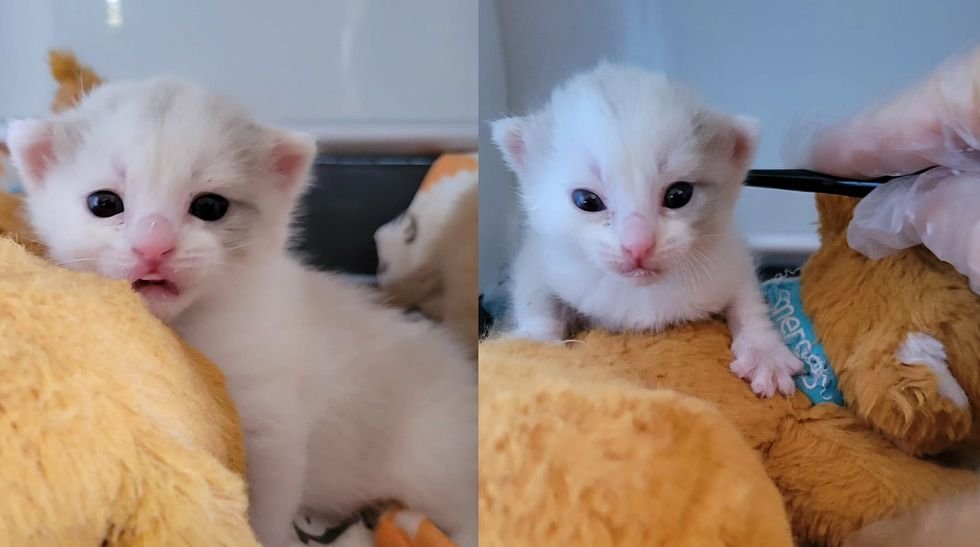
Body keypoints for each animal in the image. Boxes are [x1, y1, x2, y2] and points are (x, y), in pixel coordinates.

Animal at [9, 78, 476, 547]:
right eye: (104, 203)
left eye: (210, 206)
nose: (154, 247)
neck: (187, 324)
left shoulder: (271, 417)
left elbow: (267, 505)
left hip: (433, 462)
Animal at [494, 64, 800, 398]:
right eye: (586, 200)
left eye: (679, 195)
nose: (637, 246)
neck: (641, 294)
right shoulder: (541, 256)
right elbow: (536, 295)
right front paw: (533, 343)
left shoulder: (727, 255)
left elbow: (747, 298)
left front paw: (764, 353)